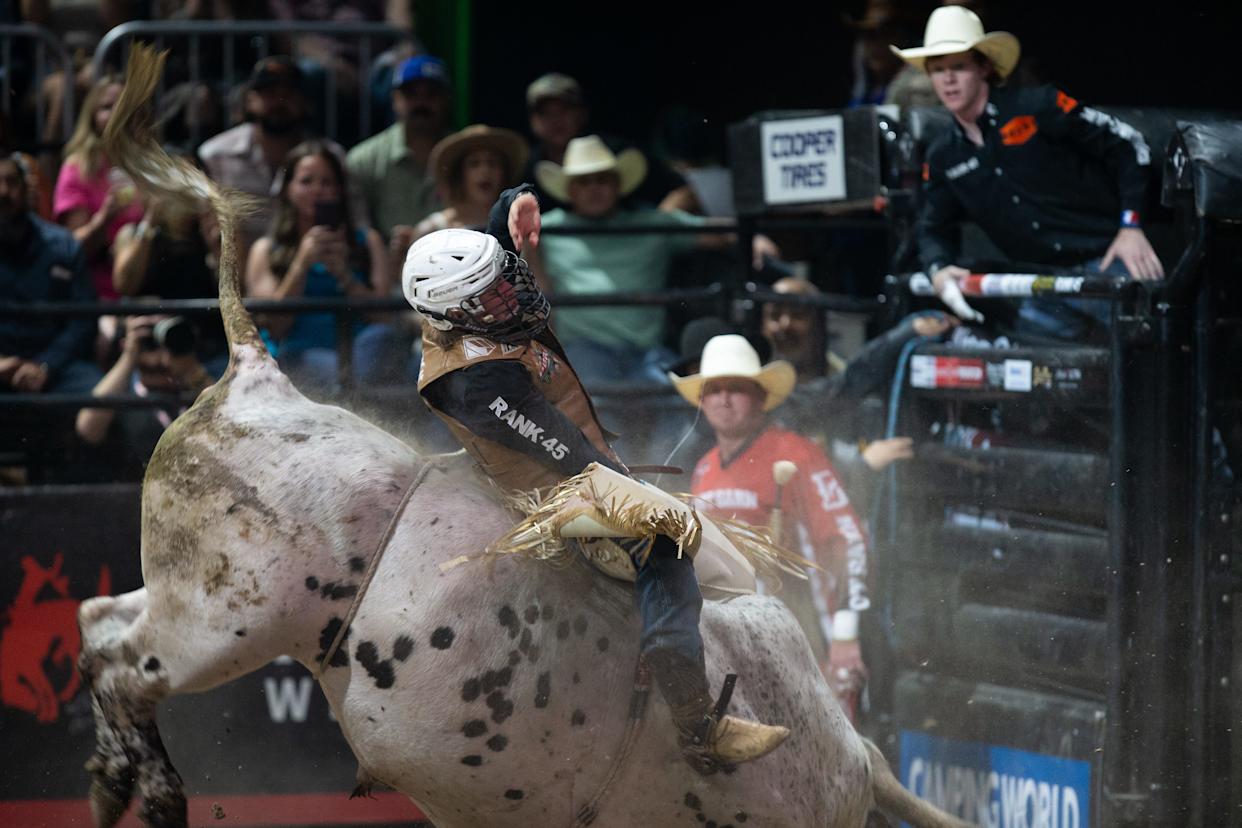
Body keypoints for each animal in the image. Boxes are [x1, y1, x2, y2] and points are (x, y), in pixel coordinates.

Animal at [77, 46, 972, 828]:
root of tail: (253, 371)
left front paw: (516, 209)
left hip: (177, 594)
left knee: (96, 623)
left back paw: (124, 780)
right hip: (218, 623)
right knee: (122, 664)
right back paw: (151, 791)